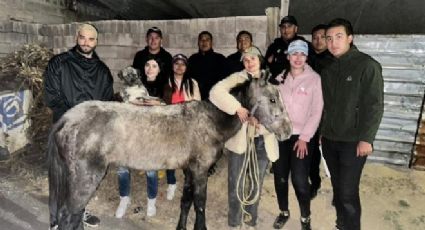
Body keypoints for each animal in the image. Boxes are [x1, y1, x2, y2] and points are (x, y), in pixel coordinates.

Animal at [47, 76, 292, 229]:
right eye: (272, 99)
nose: (288, 132)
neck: (210, 121)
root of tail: (67, 119)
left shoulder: (190, 170)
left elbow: (186, 201)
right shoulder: (201, 171)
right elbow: (200, 204)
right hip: (85, 179)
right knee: (69, 214)